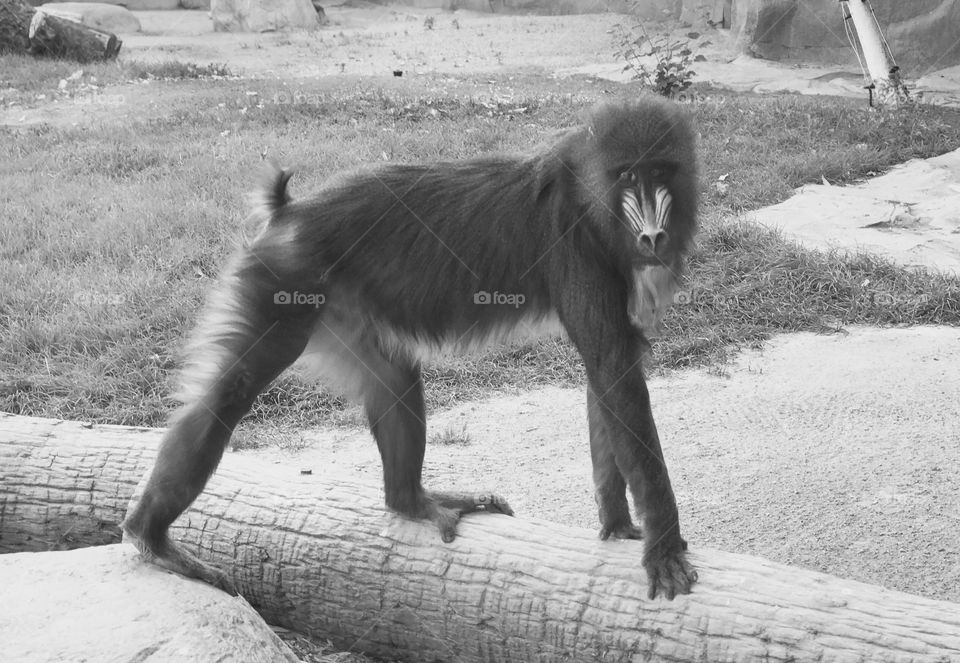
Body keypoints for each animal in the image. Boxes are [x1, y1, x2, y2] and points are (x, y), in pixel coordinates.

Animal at [123, 96, 699, 601]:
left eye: (661, 171)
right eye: (628, 177)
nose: (653, 234)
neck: (588, 192)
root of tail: (290, 212)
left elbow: (608, 377)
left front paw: (619, 526)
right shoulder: (575, 247)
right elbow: (614, 374)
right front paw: (664, 548)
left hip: (344, 312)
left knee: (394, 379)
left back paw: (412, 500)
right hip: (284, 283)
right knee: (227, 396)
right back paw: (151, 538)